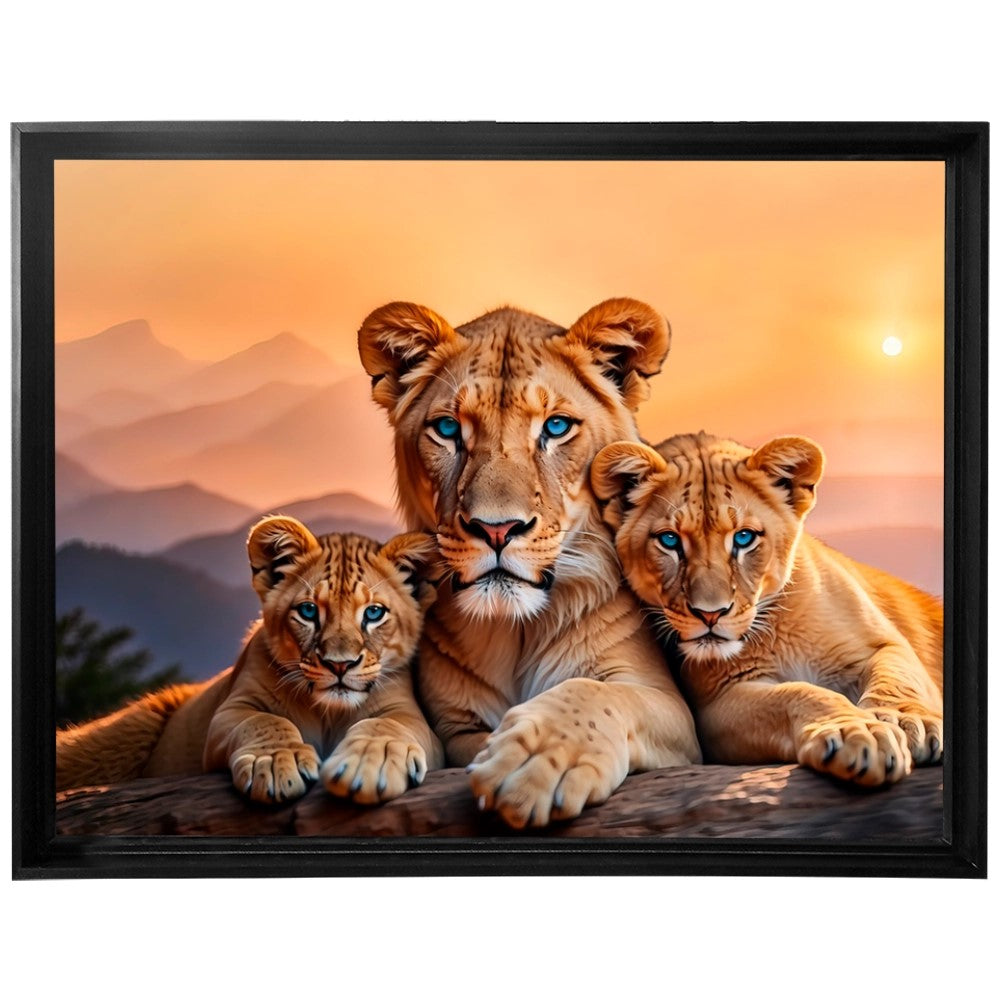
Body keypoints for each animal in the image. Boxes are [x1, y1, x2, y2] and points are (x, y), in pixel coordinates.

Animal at [57, 518, 444, 804]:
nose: (339, 665)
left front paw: (368, 764)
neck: (328, 712)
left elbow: (385, 726)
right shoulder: (228, 712)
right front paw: (275, 763)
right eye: (308, 612)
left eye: (374, 613)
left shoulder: (414, 718)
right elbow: (264, 721)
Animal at [357, 298, 701, 828]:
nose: (497, 529)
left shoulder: (672, 710)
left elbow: (600, 692)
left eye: (556, 427)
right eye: (448, 429)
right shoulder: (454, 723)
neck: (516, 630)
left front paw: (537, 759)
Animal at [591, 431, 943, 786]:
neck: (775, 628)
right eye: (669, 540)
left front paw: (905, 722)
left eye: (744, 538)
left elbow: (897, 676)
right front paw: (855, 731)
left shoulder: (882, 644)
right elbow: (797, 693)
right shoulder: (717, 704)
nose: (710, 614)